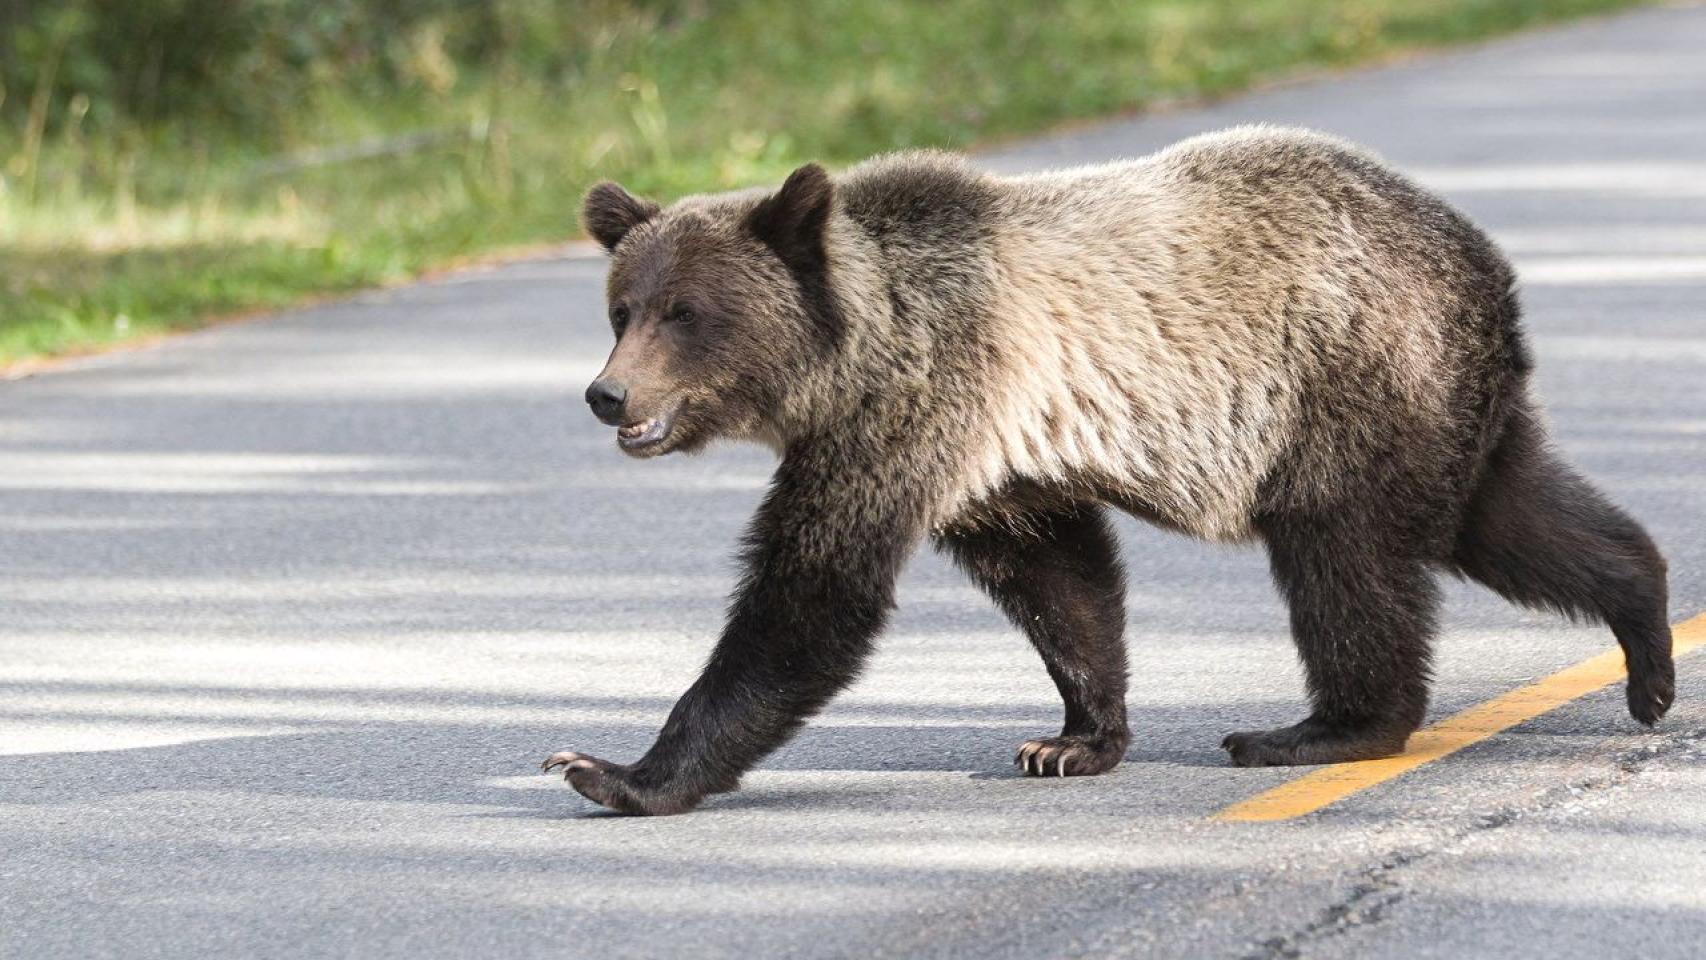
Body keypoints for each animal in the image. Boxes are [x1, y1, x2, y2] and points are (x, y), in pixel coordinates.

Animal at [542, 126, 1665, 818]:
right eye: (620, 308)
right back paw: (1647, 644)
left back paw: (1317, 730)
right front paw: (1071, 738)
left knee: (1347, 561)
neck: (855, 354)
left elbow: (812, 594)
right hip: (1438, 404)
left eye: (685, 312)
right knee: (1513, 515)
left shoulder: (920, 403)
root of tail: (1482, 258)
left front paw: (610, 771)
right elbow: (1061, 583)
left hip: (1347, 379)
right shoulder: (990, 460)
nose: (607, 395)